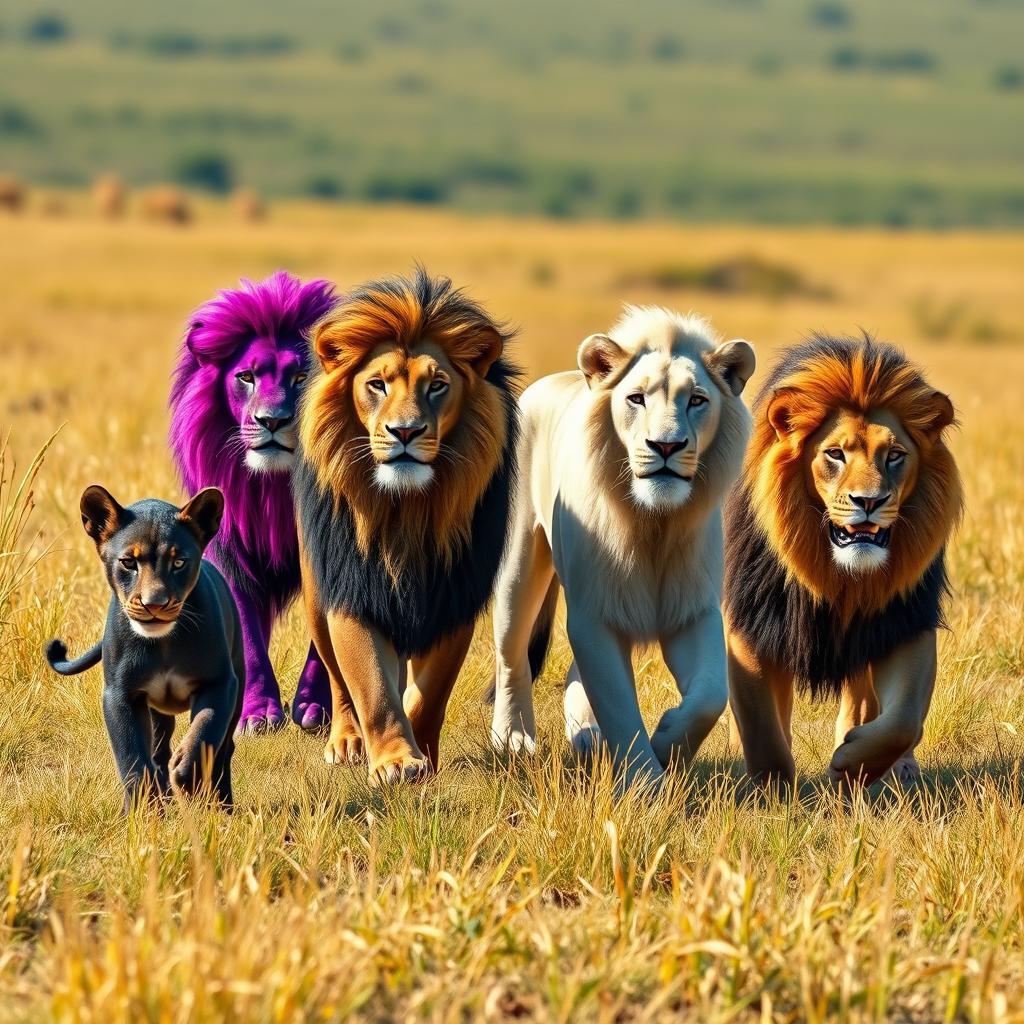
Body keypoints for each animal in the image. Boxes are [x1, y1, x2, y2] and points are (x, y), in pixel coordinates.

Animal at [294, 269, 519, 784]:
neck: (408, 512)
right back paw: (347, 741)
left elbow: (431, 692)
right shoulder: (354, 588)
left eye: (436, 386)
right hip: (316, 595)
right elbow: (372, 687)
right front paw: (395, 760)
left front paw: (423, 755)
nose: (405, 432)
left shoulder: (454, 595)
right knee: (338, 681)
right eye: (377, 385)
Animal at [490, 307, 755, 789]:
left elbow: (711, 695)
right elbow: (619, 705)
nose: (666, 445)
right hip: (518, 566)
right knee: (511, 657)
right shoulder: (593, 614)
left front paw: (667, 741)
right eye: (636, 399)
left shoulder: (692, 611)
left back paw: (587, 736)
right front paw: (647, 784)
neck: (654, 524)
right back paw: (513, 738)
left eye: (697, 400)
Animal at [723, 333, 962, 790]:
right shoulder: (750, 624)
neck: (837, 576)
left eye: (894, 455)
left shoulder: (904, 619)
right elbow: (763, 730)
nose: (869, 502)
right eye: (834, 454)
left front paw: (851, 765)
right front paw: (771, 793)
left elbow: (904, 720)